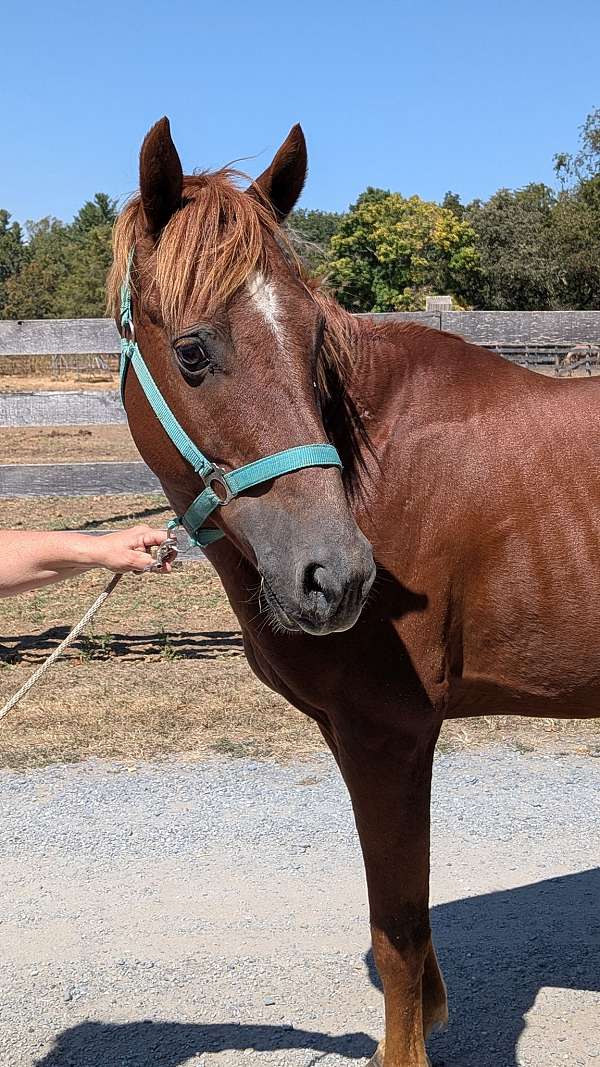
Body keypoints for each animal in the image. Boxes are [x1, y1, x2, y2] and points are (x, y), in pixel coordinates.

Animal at [108, 118, 599, 1067]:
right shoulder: (350, 733)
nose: (336, 575)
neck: (382, 471)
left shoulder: (389, 733)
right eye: (193, 350)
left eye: (313, 343)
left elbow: (398, 928)